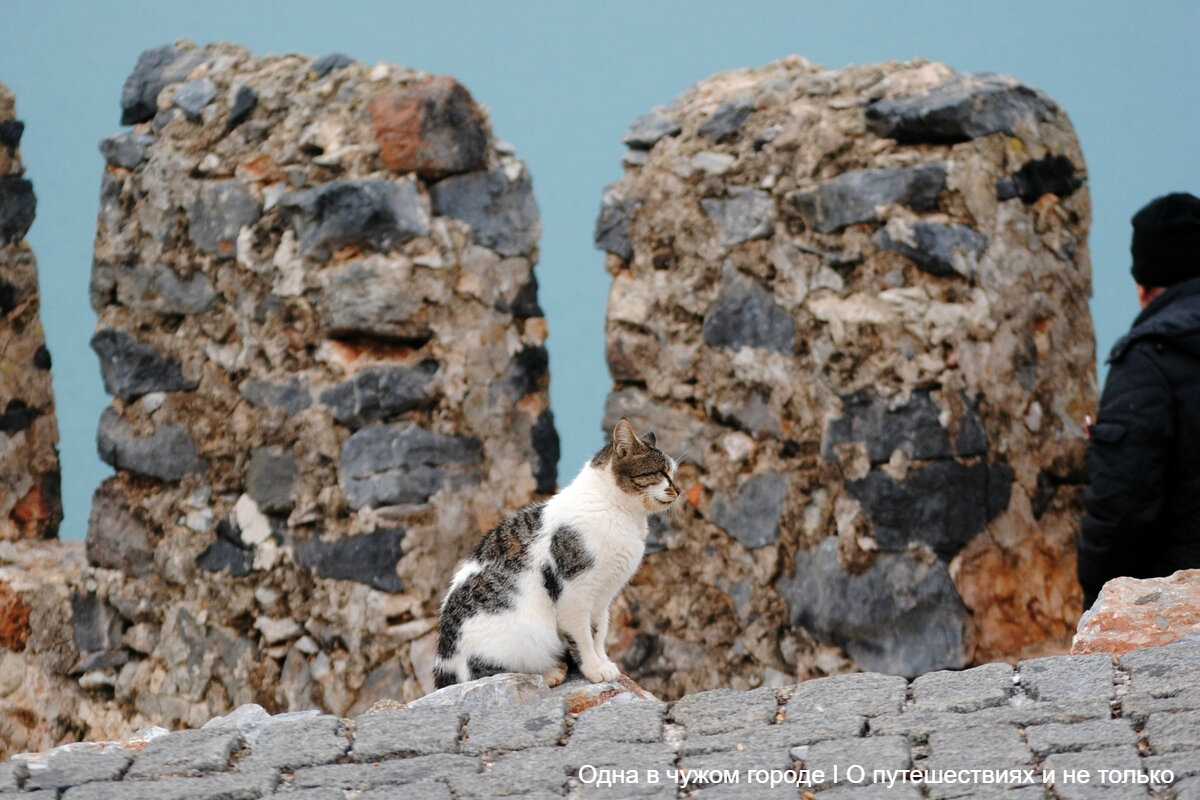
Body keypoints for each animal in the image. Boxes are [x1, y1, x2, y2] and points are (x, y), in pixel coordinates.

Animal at [434, 419, 681, 690]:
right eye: (661, 473)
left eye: (674, 473)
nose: (678, 490)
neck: (618, 511)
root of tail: (443, 665)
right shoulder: (574, 596)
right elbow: (583, 638)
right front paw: (594, 669)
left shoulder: (602, 598)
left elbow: (599, 633)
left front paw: (604, 662)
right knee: (488, 673)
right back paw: (550, 671)